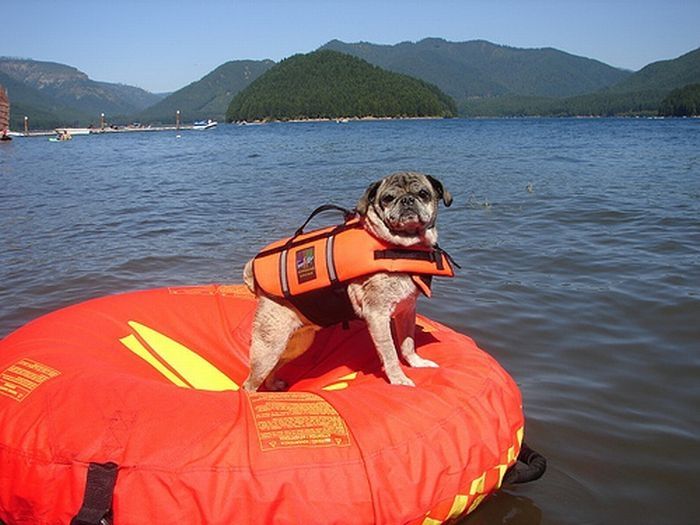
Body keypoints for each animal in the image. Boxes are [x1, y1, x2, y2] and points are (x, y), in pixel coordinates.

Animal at [242, 172, 454, 388]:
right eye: (388, 198)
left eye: (423, 194)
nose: (407, 200)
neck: (405, 247)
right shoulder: (377, 316)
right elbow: (390, 353)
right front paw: (398, 380)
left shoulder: (407, 311)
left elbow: (408, 343)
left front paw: (417, 363)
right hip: (269, 347)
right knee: (250, 383)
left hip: (298, 343)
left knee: (275, 367)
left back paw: (272, 386)